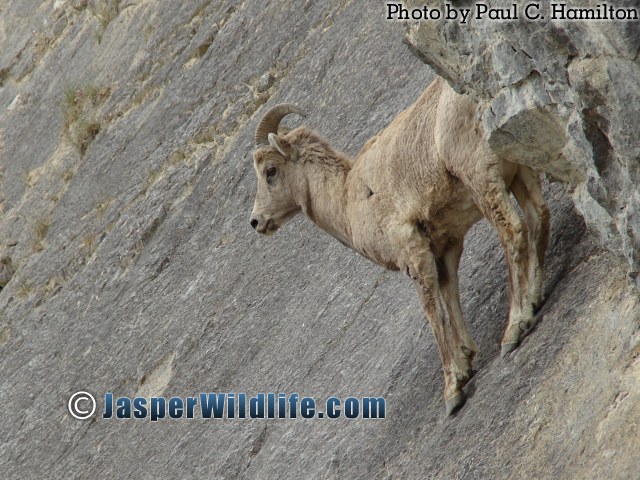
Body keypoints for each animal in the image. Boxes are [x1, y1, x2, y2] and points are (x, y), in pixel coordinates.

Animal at [250, 77, 552, 414]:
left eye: (270, 171)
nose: (256, 221)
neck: (349, 200)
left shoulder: (413, 254)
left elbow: (433, 313)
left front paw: (453, 391)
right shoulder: (443, 250)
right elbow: (450, 297)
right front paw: (467, 360)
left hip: (480, 178)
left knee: (513, 231)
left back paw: (514, 330)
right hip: (519, 170)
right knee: (539, 217)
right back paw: (535, 299)